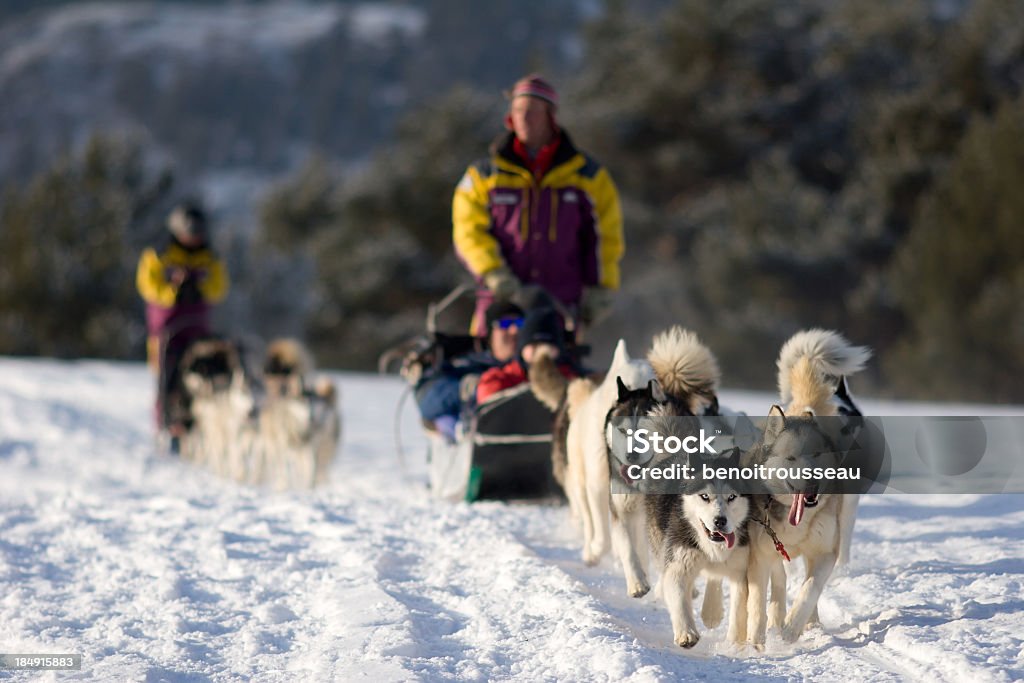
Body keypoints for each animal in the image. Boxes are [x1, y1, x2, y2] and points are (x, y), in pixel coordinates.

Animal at [745, 327, 872, 643]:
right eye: (791, 457)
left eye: (817, 455)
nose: (812, 480)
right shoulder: (763, 553)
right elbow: (763, 596)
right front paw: (761, 635)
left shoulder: (824, 551)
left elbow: (810, 590)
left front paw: (793, 627)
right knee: (780, 580)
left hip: (846, 513)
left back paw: (806, 622)